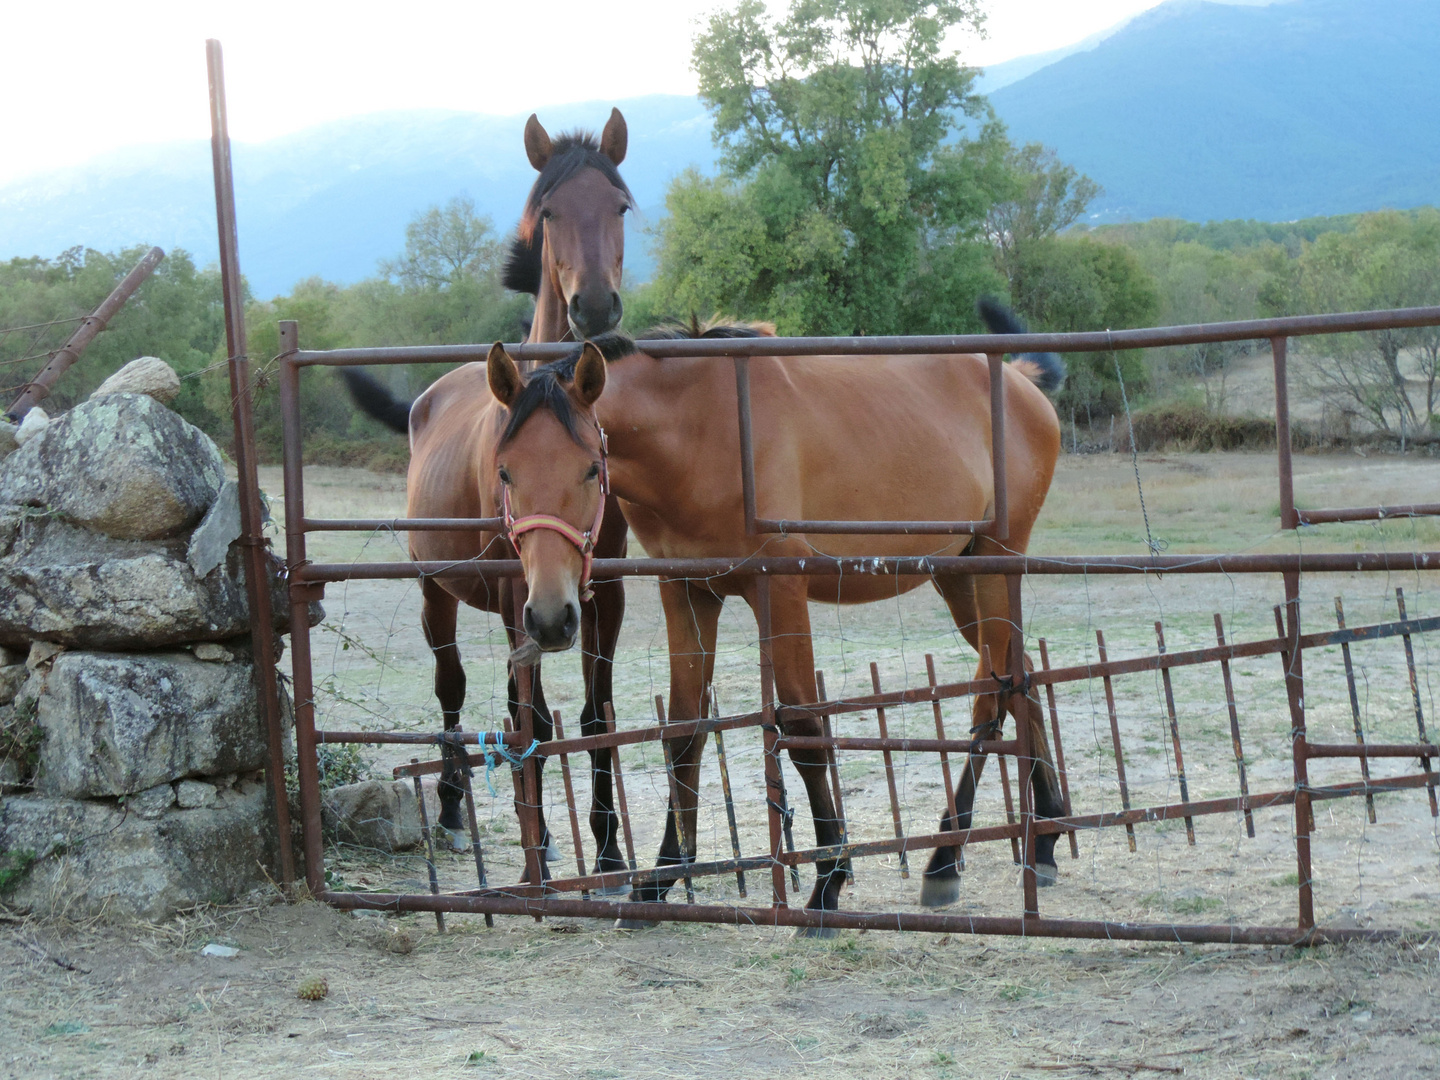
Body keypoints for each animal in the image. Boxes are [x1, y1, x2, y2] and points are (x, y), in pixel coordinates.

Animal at [342, 110, 636, 887]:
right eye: (549, 211)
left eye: (621, 206)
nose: (594, 305)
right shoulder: (519, 596)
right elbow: (522, 713)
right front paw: (546, 849)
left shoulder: (606, 593)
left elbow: (595, 715)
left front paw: (607, 848)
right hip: (437, 592)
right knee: (452, 688)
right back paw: (449, 810)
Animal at [483, 305, 1071, 933]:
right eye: (505, 472)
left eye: (592, 469)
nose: (550, 618)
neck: (702, 429)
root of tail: (1023, 385)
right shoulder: (687, 594)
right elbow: (684, 732)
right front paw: (659, 881)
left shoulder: (781, 593)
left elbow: (805, 731)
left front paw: (828, 882)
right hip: (959, 575)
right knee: (1018, 677)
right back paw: (1043, 840)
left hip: (993, 567)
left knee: (991, 692)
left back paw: (944, 860)